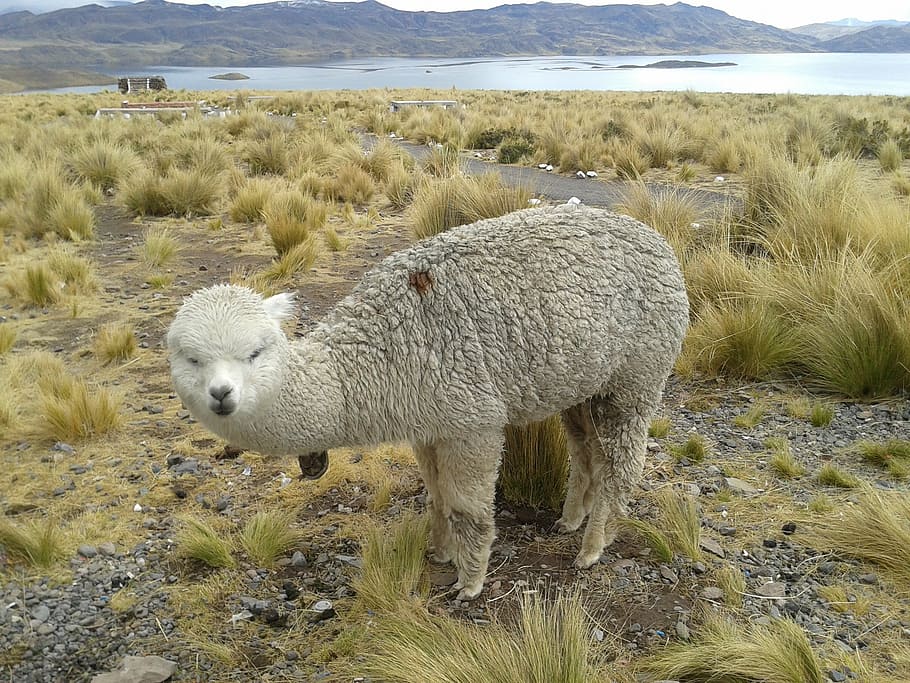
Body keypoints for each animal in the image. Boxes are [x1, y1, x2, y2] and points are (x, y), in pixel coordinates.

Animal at [167, 204, 689, 600]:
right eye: (191, 358)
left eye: (255, 352)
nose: (222, 394)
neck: (372, 359)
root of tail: (660, 241)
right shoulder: (428, 419)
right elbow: (436, 495)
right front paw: (440, 552)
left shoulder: (471, 417)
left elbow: (466, 505)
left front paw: (470, 581)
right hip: (584, 382)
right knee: (585, 452)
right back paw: (571, 519)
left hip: (637, 375)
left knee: (622, 463)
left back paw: (592, 547)